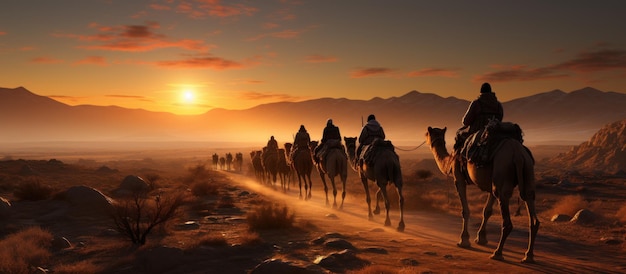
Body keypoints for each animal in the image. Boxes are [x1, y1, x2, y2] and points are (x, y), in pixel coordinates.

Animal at [424, 127, 536, 264]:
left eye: (428, 134)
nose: (426, 138)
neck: (450, 161)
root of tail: (519, 155)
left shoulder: (459, 179)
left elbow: (465, 211)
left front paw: (464, 240)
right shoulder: (490, 185)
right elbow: (487, 211)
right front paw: (481, 238)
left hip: (502, 171)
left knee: (507, 220)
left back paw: (497, 253)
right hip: (527, 170)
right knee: (531, 209)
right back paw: (528, 256)